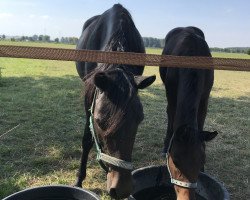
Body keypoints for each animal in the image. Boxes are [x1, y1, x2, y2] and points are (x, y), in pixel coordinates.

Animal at [160, 26, 217, 198]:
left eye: (202, 160)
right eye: (176, 161)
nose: (187, 196)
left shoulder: (205, 96)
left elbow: (201, 119)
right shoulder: (171, 93)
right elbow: (172, 116)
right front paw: (166, 146)